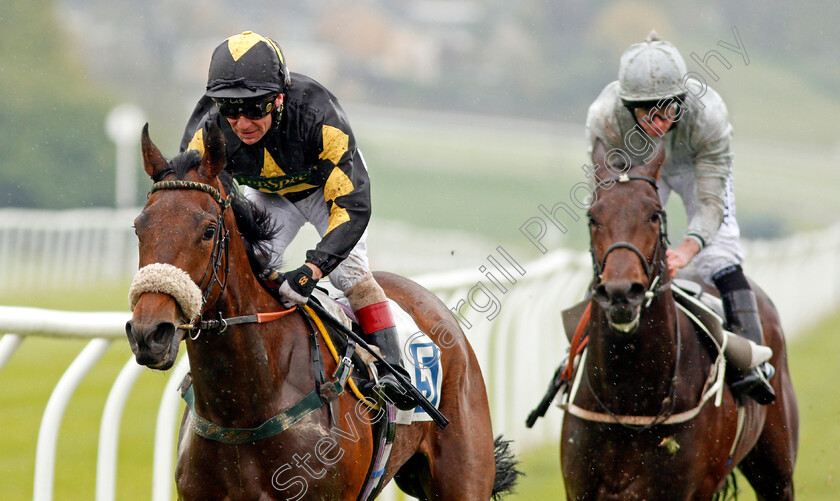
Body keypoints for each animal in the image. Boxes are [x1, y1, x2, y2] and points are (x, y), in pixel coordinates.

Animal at [124, 123, 520, 498]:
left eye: (208, 230)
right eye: (139, 227)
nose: (149, 333)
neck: (244, 405)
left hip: (463, 477)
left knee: (355, 271)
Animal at [560, 141, 796, 500]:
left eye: (654, 214)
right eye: (592, 217)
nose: (621, 293)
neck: (631, 398)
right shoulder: (581, 488)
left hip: (776, 469)